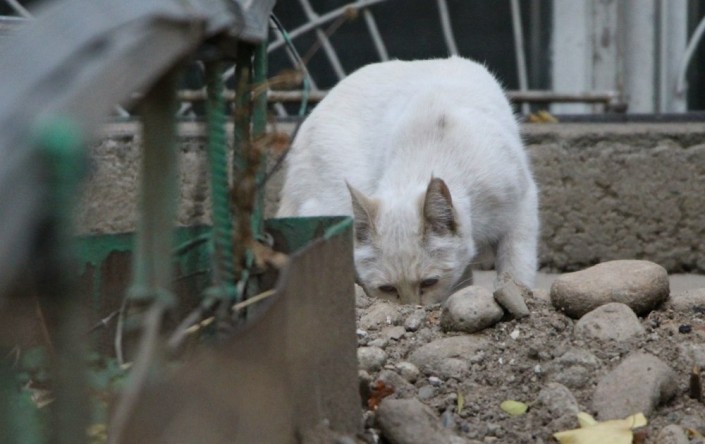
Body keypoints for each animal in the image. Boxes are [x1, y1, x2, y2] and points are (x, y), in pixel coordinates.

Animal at [276, 56, 539, 305]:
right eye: (387, 289)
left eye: (429, 282)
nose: (411, 308)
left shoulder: (523, 204)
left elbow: (515, 264)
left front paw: (517, 292)